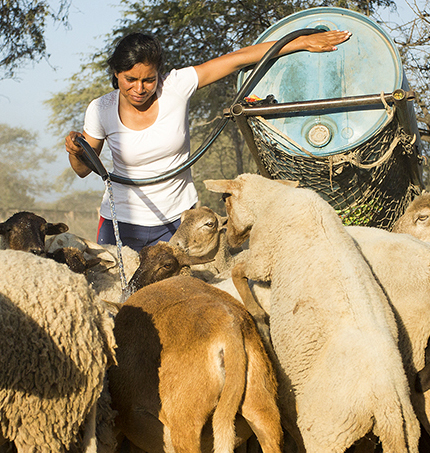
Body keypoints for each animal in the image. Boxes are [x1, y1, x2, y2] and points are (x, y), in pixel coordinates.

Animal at [205, 173, 420, 452]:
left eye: (225, 199)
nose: (229, 239)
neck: (272, 197)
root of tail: (388, 403)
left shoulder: (262, 257)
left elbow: (238, 271)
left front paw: (258, 315)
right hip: (402, 430)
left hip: (325, 432)